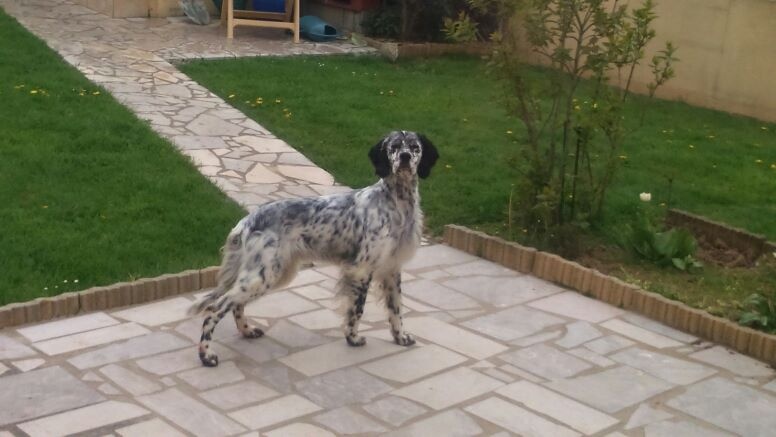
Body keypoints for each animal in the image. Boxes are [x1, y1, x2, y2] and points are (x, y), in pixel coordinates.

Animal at [188, 131, 439, 366]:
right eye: (394, 147)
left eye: (414, 147)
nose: (405, 158)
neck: (396, 202)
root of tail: (246, 221)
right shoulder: (362, 270)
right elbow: (357, 310)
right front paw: (353, 338)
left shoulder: (391, 269)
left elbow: (396, 309)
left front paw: (401, 337)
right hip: (263, 274)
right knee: (215, 309)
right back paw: (206, 355)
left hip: (266, 274)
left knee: (235, 305)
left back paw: (247, 331)